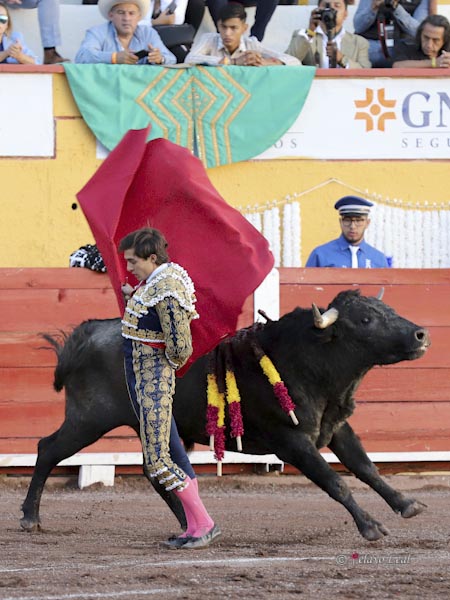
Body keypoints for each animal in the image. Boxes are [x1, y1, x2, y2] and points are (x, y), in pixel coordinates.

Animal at [22, 288, 432, 540]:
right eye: (365, 320)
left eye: (389, 311)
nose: (420, 335)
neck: (306, 360)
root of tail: (89, 332)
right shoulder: (292, 441)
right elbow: (337, 482)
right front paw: (371, 526)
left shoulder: (335, 428)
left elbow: (366, 468)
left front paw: (407, 504)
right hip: (89, 419)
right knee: (48, 449)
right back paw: (30, 517)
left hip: (148, 425)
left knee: (155, 472)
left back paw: (192, 524)